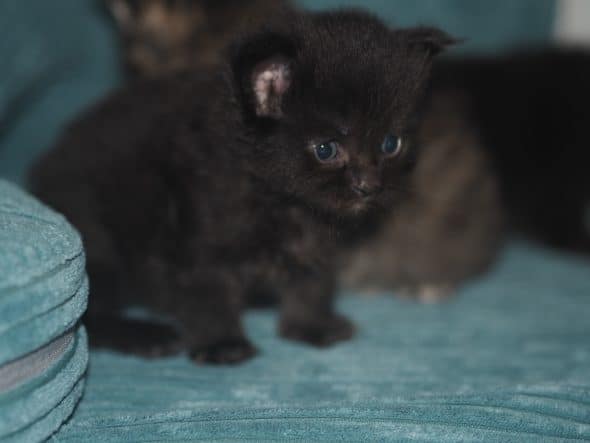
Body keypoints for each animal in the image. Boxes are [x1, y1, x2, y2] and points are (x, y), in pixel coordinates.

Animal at [30, 11, 458, 364]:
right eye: (326, 149)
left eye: (390, 144)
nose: (368, 185)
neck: (278, 199)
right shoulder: (199, 241)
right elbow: (209, 293)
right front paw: (223, 344)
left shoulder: (315, 244)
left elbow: (312, 282)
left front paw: (311, 326)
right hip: (103, 251)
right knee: (89, 318)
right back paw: (146, 336)